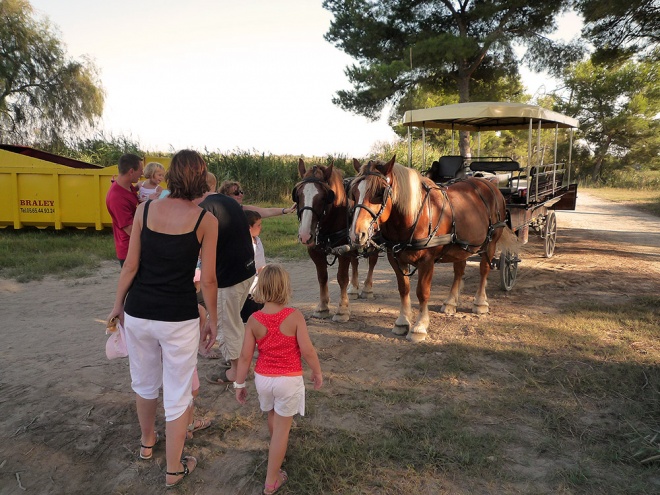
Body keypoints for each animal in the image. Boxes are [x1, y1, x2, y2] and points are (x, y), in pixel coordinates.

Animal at [292, 157, 378, 324]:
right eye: (298, 195)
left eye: (323, 197)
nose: (305, 235)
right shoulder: (315, 251)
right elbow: (322, 277)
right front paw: (322, 307)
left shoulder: (343, 251)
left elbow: (342, 278)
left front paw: (342, 310)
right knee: (355, 262)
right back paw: (354, 289)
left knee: (372, 261)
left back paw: (367, 288)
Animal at [348, 157, 512, 342]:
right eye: (353, 193)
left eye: (379, 193)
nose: (357, 234)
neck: (413, 216)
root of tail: (489, 183)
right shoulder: (395, 258)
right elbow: (404, 289)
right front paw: (402, 322)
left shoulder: (427, 261)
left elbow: (422, 292)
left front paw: (419, 327)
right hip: (463, 247)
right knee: (459, 270)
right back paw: (450, 302)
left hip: (491, 242)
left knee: (484, 269)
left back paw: (480, 302)